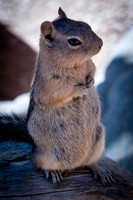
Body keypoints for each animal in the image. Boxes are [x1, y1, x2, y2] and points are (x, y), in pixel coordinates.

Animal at [26, 7, 112, 183]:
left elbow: (93, 70)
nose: (101, 44)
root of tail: (74, 165)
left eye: (86, 24)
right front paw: (81, 89)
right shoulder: (47, 86)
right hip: (46, 155)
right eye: (74, 42)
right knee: (41, 164)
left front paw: (91, 80)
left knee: (89, 162)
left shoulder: (90, 64)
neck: (75, 65)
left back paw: (99, 169)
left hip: (99, 141)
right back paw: (52, 172)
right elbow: (57, 95)